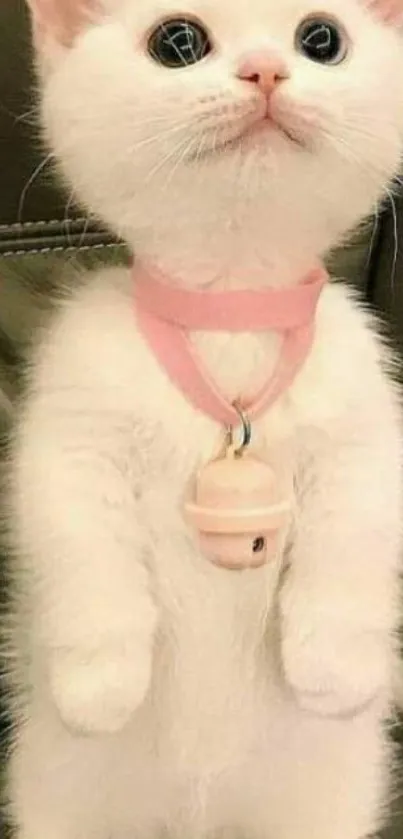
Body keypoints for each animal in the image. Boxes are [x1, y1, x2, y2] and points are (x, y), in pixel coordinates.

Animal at [4, 0, 403, 836]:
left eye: (321, 39)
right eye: (177, 41)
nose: (265, 70)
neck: (230, 316)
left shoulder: (364, 419)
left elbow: (357, 530)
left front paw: (333, 667)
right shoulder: (71, 423)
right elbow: (79, 542)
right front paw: (100, 682)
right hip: (60, 805)